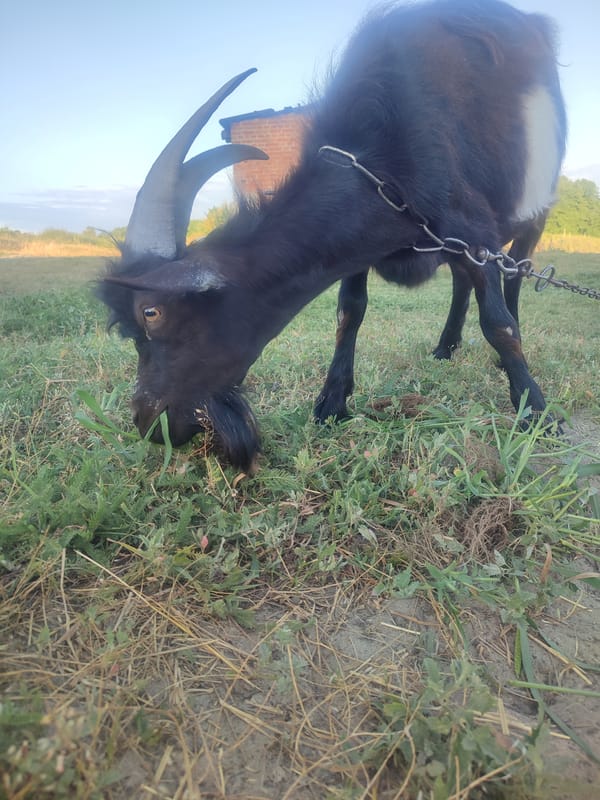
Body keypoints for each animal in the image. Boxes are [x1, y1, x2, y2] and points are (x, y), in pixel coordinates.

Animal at [99, 0, 567, 472]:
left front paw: (537, 412)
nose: (145, 421)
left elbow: (499, 324)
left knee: (515, 275)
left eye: (151, 312)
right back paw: (445, 346)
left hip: (535, 213)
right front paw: (332, 402)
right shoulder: (363, 248)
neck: (382, 160)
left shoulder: (473, 232)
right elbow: (349, 312)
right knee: (460, 283)